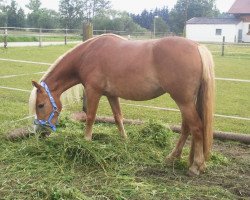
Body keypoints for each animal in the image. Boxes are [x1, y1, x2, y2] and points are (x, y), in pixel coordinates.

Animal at [29, 34, 214, 175]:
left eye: (40, 105)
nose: (40, 132)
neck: (87, 54)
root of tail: (198, 47)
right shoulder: (112, 95)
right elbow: (118, 117)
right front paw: (125, 140)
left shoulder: (93, 91)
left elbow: (91, 117)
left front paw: (86, 141)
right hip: (186, 102)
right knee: (186, 128)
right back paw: (172, 158)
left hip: (183, 101)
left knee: (197, 127)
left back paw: (196, 166)